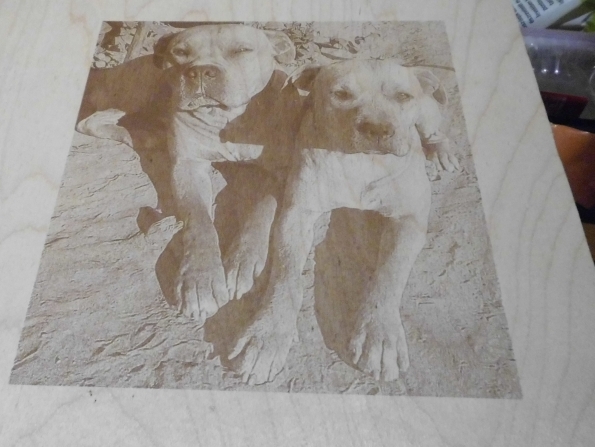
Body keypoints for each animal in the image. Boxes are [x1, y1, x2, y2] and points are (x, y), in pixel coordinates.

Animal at [75, 24, 300, 326]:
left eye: (242, 50)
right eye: (180, 52)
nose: (201, 71)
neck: (224, 120)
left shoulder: (273, 172)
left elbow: (261, 212)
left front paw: (242, 261)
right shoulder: (189, 166)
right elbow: (199, 219)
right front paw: (200, 281)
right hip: (142, 92)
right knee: (91, 121)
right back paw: (146, 135)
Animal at [228, 59, 459, 384]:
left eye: (402, 96)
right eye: (341, 94)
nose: (377, 128)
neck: (361, 163)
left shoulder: (408, 219)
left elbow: (390, 273)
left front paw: (380, 333)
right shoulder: (297, 214)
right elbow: (286, 275)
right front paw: (268, 333)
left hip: (428, 112)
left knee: (433, 129)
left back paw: (441, 151)